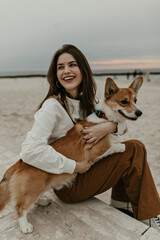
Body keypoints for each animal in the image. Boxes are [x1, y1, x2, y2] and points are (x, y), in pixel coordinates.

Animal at [0, 76, 142, 232]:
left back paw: (42, 201)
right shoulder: (96, 150)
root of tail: (17, 165)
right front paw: (121, 146)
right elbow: (114, 146)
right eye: (124, 101)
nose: (139, 113)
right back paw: (25, 226)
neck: (105, 118)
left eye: (135, 100)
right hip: (32, 190)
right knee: (20, 208)